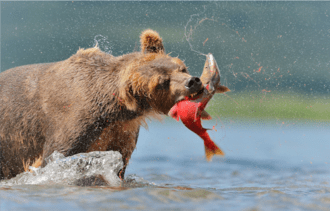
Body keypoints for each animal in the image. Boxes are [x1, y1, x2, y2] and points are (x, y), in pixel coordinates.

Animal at [0, 29, 205, 181]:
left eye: (181, 68)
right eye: (162, 82)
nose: (193, 81)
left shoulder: (121, 131)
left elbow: (119, 162)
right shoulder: (71, 122)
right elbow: (54, 158)